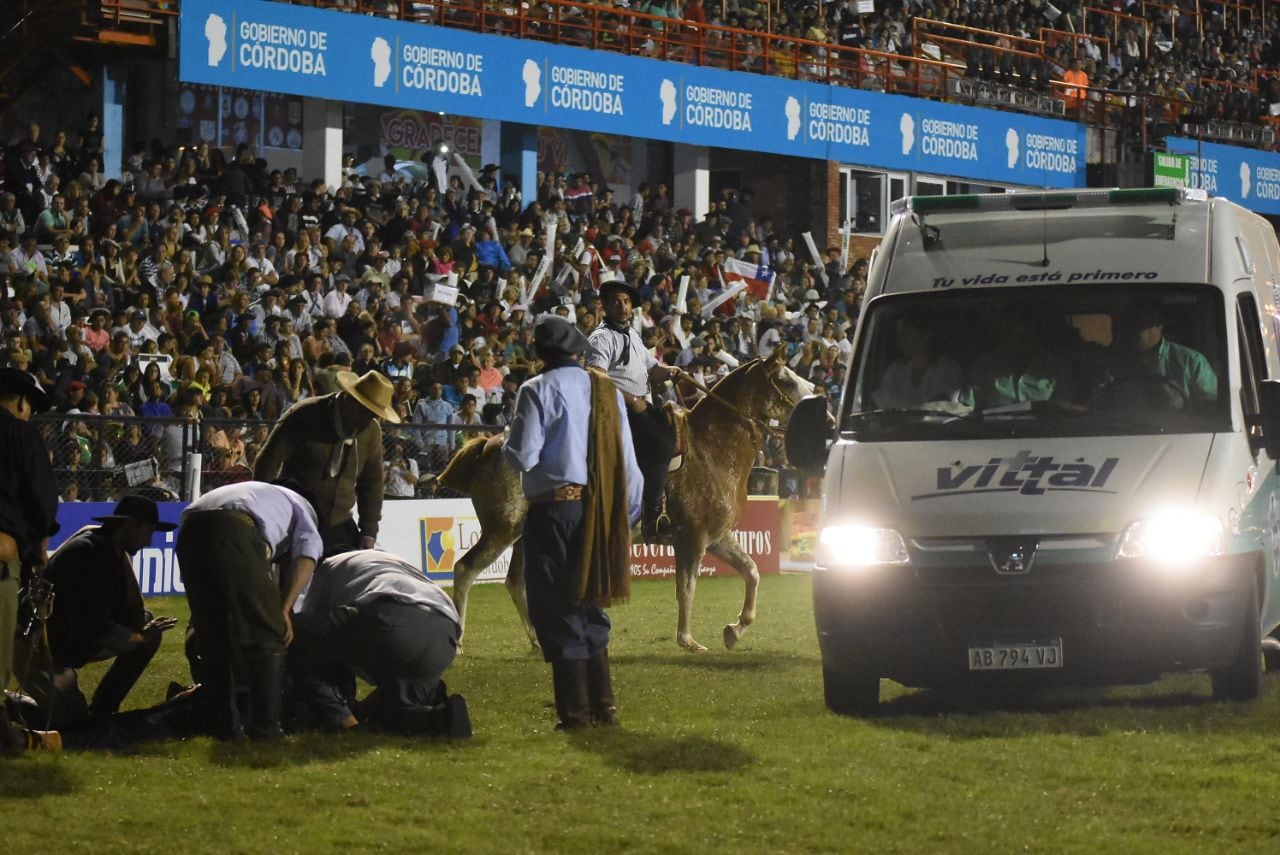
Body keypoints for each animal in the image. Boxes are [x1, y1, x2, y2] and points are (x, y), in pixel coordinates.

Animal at [430, 343, 808, 650]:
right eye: (787, 381)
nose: (818, 405)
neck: (709, 448)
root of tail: (492, 444)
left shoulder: (717, 537)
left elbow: (752, 571)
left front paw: (734, 630)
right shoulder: (692, 539)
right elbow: (686, 588)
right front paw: (688, 640)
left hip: (524, 535)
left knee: (516, 583)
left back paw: (539, 640)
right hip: (501, 530)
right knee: (465, 570)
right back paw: (458, 641)